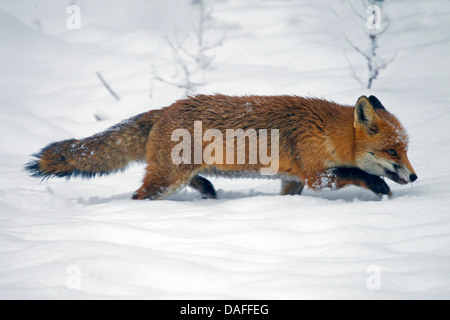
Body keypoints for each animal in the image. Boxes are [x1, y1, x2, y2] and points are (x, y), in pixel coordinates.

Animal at [25, 94, 418, 200]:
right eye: (393, 151)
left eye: (405, 149)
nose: (414, 177)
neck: (325, 131)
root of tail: (164, 108)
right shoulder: (317, 175)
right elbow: (356, 173)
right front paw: (380, 188)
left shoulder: (293, 179)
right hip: (165, 180)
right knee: (140, 195)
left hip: (176, 173)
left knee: (192, 180)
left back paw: (208, 191)